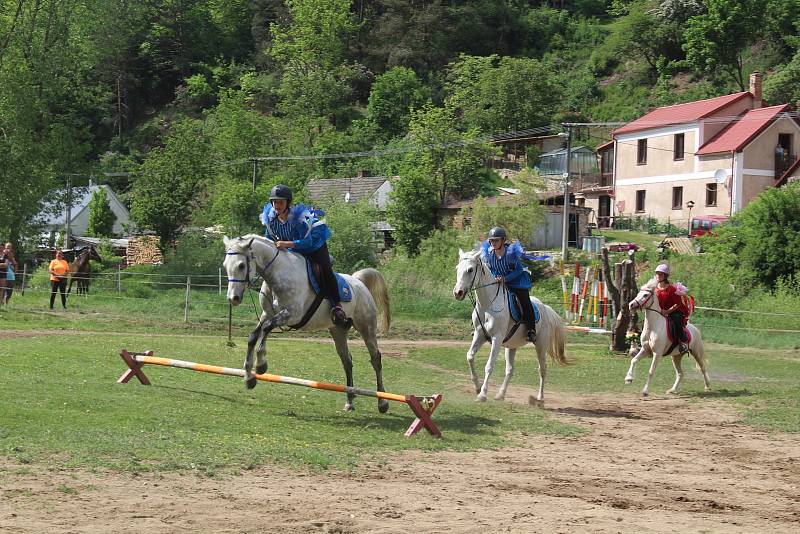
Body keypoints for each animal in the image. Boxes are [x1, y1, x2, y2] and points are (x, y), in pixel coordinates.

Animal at [222, 234, 390, 414]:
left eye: (241, 265)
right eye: (225, 265)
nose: (233, 299)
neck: (277, 273)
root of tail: (359, 282)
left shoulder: (292, 315)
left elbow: (266, 329)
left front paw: (261, 365)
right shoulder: (267, 314)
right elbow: (253, 336)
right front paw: (249, 378)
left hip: (366, 327)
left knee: (375, 359)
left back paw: (382, 402)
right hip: (337, 330)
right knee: (347, 361)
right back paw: (350, 400)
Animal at [450, 249, 568, 408]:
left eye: (470, 270)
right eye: (457, 269)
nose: (458, 293)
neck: (488, 305)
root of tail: (546, 308)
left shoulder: (497, 339)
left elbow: (489, 366)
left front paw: (482, 394)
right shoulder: (480, 335)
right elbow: (470, 356)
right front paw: (477, 387)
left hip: (540, 345)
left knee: (542, 369)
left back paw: (540, 399)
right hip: (511, 346)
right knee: (510, 370)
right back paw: (501, 394)